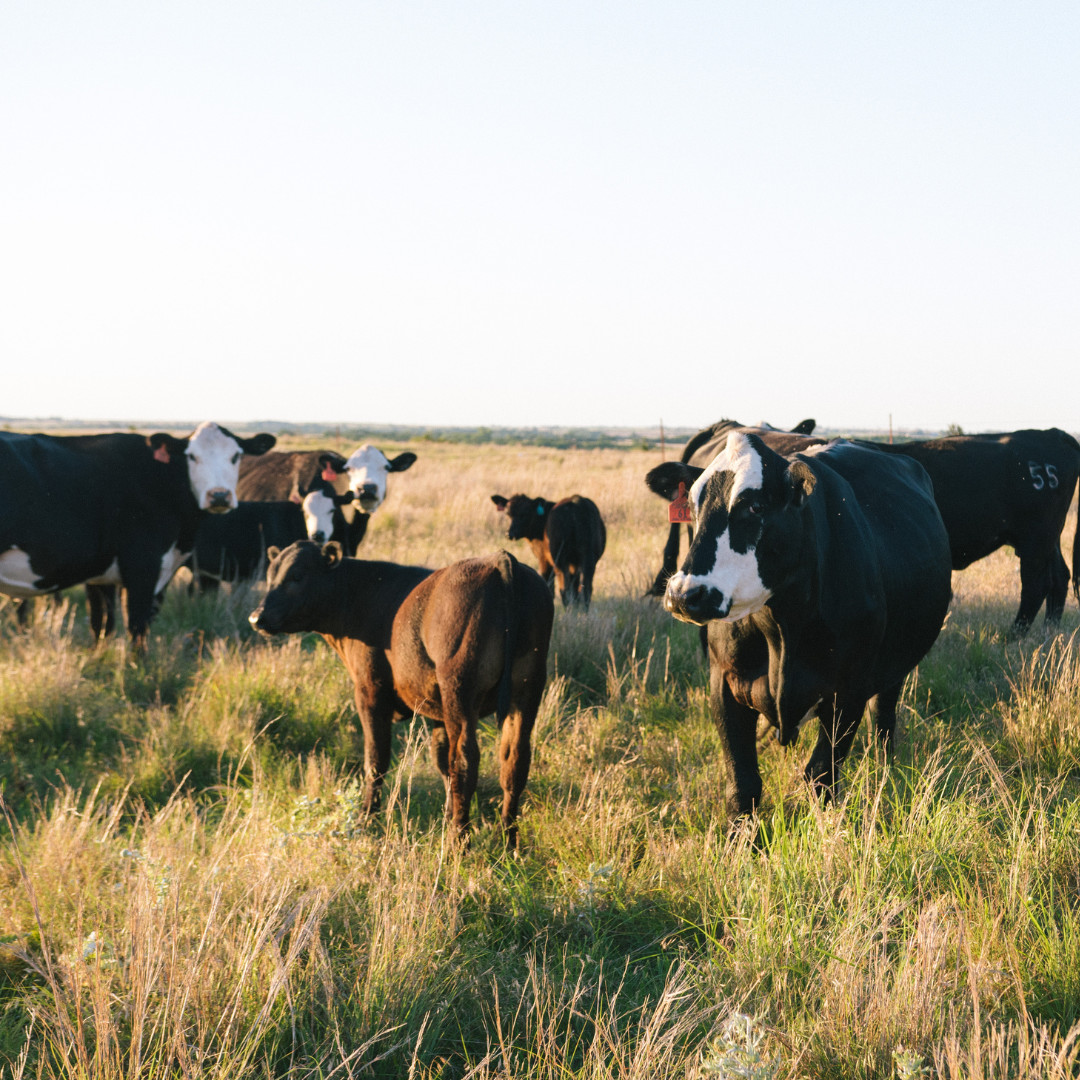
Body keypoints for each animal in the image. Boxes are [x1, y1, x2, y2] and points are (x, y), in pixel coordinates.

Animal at [1, 421, 278, 639]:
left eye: (236, 456)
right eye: (191, 456)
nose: (219, 495)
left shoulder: (100, 574)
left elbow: (102, 625)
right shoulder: (144, 566)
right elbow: (137, 628)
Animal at [248, 544, 552, 846]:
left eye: (297, 575)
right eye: (271, 575)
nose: (256, 617)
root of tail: (499, 558)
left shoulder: (370, 691)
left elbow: (375, 760)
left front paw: (365, 820)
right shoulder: (437, 710)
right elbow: (441, 761)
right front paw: (445, 817)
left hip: (459, 688)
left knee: (465, 760)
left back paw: (459, 843)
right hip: (527, 690)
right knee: (514, 759)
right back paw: (509, 841)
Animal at [643, 429, 950, 816]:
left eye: (755, 506)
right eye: (694, 507)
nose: (684, 594)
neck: (780, 630)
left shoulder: (849, 690)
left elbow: (821, 775)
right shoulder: (723, 682)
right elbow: (743, 784)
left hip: (893, 666)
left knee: (883, 719)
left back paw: (887, 773)